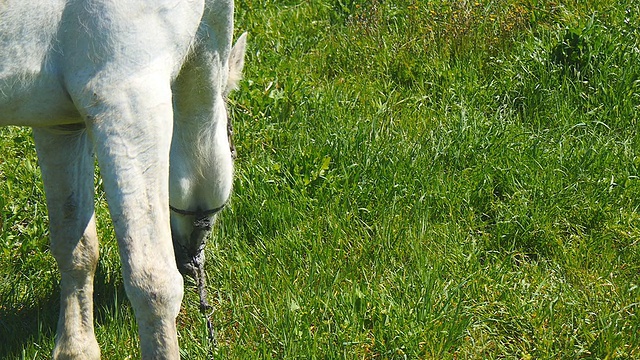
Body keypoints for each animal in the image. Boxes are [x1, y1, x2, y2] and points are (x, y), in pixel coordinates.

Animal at [0, 1, 245, 358]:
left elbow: (75, 246)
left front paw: (77, 347)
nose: (190, 263)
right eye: (230, 140)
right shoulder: (129, 99)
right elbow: (153, 282)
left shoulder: (59, 125)